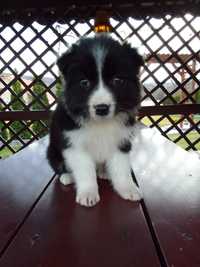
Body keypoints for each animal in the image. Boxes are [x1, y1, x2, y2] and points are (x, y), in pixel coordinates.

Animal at [47, 34, 144, 208]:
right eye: (84, 82)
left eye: (117, 80)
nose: (102, 108)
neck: (100, 123)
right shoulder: (75, 144)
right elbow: (85, 171)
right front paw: (87, 193)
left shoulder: (121, 141)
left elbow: (122, 169)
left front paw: (128, 189)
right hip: (52, 151)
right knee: (59, 165)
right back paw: (67, 176)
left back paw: (104, 171)